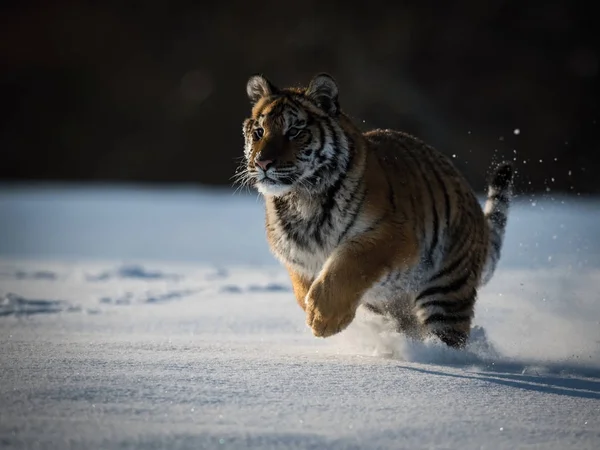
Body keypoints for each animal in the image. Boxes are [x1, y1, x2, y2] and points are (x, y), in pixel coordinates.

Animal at [239, 73, 516, 348]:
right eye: (259, 132)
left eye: (294, 132)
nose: (262, 162)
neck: (301, 199)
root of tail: (474, 206)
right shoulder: (296, 258)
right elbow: (303, 289)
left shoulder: (393, 233)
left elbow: (349, 263)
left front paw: (323, 318)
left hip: (447, 288)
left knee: (449, 337)